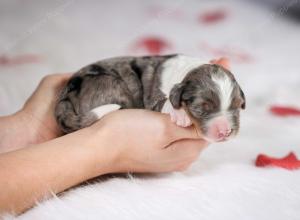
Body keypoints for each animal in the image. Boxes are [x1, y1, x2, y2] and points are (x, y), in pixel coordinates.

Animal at [55, 54, 245, 142]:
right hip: (112, 86)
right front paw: (181, 115)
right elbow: (165, 102)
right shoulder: (152, 98)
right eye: (201, 108)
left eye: (237, 107)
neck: (186, 71)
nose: (225, 132)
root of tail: (68, 90)